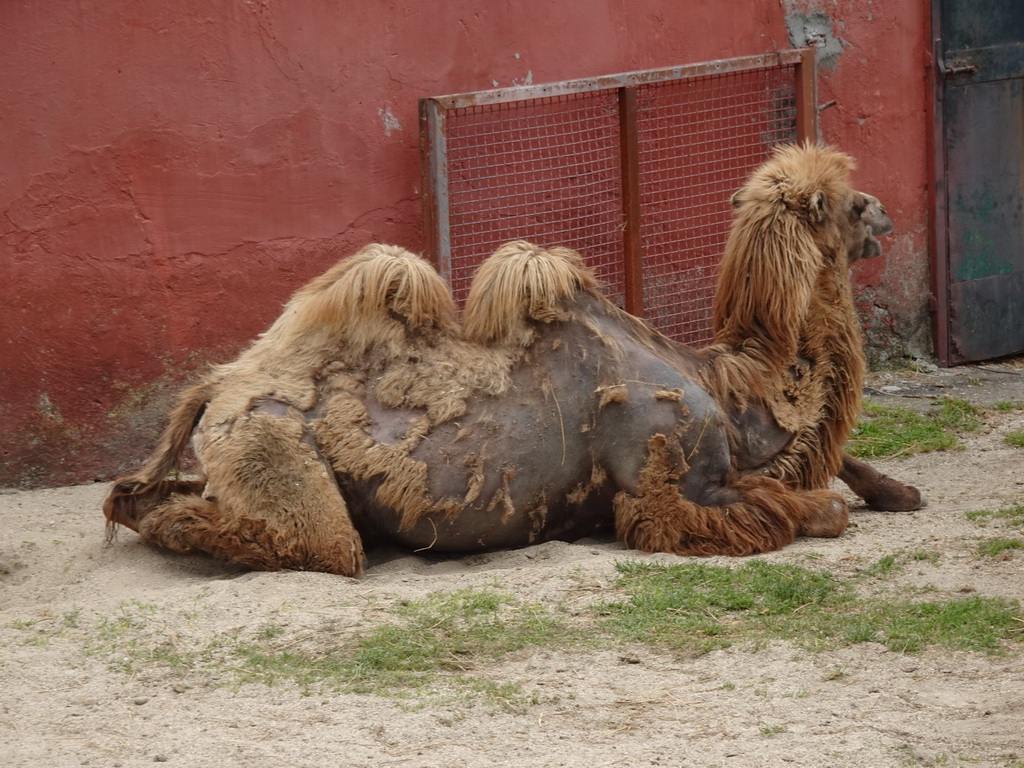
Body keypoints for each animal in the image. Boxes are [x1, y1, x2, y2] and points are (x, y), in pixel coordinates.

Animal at [105, 144, 929, 577]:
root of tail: (217, 385)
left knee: (146, 495)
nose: (888, 211)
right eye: (851, 204)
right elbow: (816, 510)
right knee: (311, 540)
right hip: (279, 457)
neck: (733, 387)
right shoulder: (670, 490)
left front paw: (901, 491)